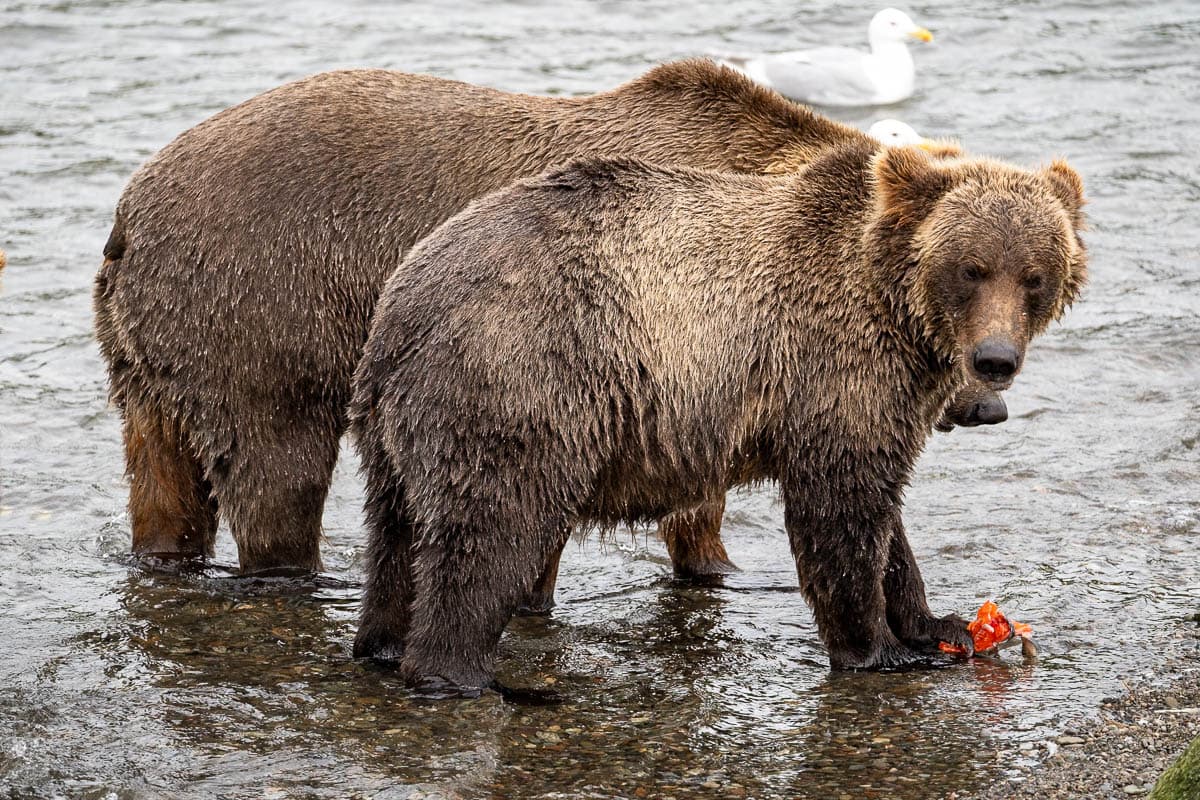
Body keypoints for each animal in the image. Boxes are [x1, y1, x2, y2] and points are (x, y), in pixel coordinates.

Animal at [96, 56, 1003, 582]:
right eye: (953, 282)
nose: (986, 400)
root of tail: (131, 208)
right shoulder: (681, 331)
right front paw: (721, 562)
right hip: (261, 303)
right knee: (275, 466)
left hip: (149, 348)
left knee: (161, 474)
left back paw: (164, 554)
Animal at [348, 142, 1089, 690]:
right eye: (971, 268)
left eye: (1034, 274)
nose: (995, 360)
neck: (898, 314)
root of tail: (401, 304)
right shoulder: (830, 365)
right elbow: (842, 510)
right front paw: (882, 649)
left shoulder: (880, 396)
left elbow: (887, 517)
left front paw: (939, 624)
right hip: (523, 380)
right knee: (489, 534)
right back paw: (457, 674)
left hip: (397, 426)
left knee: (397, 534)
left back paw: (382, 643)